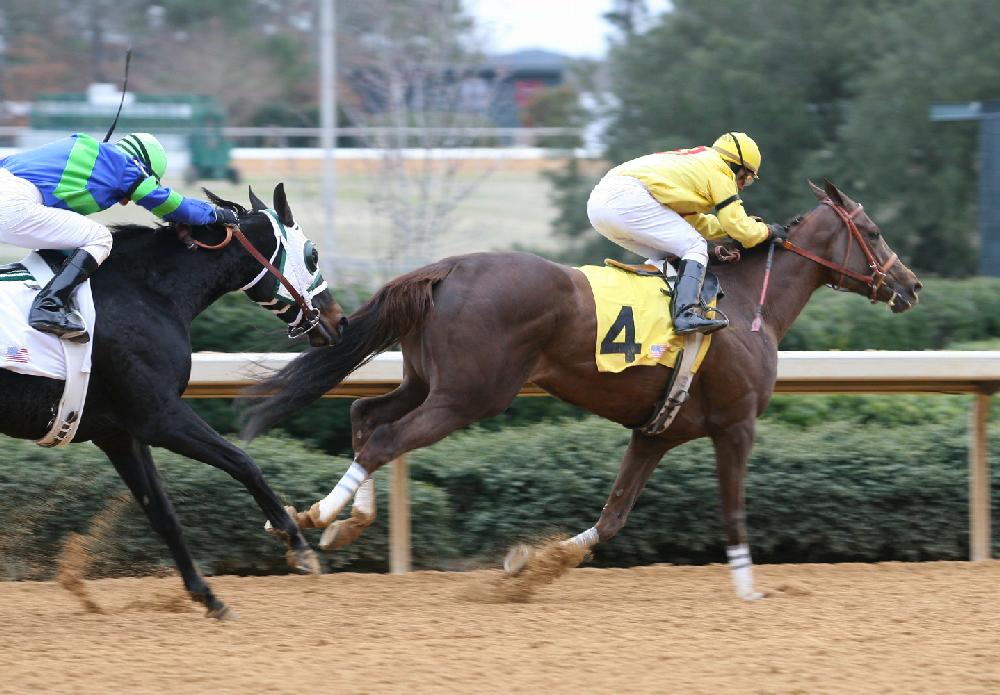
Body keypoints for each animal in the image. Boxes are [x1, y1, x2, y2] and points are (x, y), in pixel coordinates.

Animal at [0, 184, 346, 618]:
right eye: (312, 254)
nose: (339, 321)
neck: (147, 291)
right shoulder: (160, 417)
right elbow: (243, 461)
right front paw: (297, 543)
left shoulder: (119, 432)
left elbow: (162, 512)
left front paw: (207, 595)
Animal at [242, 180, 922, 600]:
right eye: (873, 231)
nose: (910, 286)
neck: (748, 306)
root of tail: (450, 266)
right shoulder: (737, 426)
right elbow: (732, 512)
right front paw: (749, 588)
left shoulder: (655, 433)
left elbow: (613, 516)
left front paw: (534, 564)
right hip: (470, 395)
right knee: (384, 438)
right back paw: (317, 516)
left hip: (429, 381)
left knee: (365, 415)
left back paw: (341, 522)